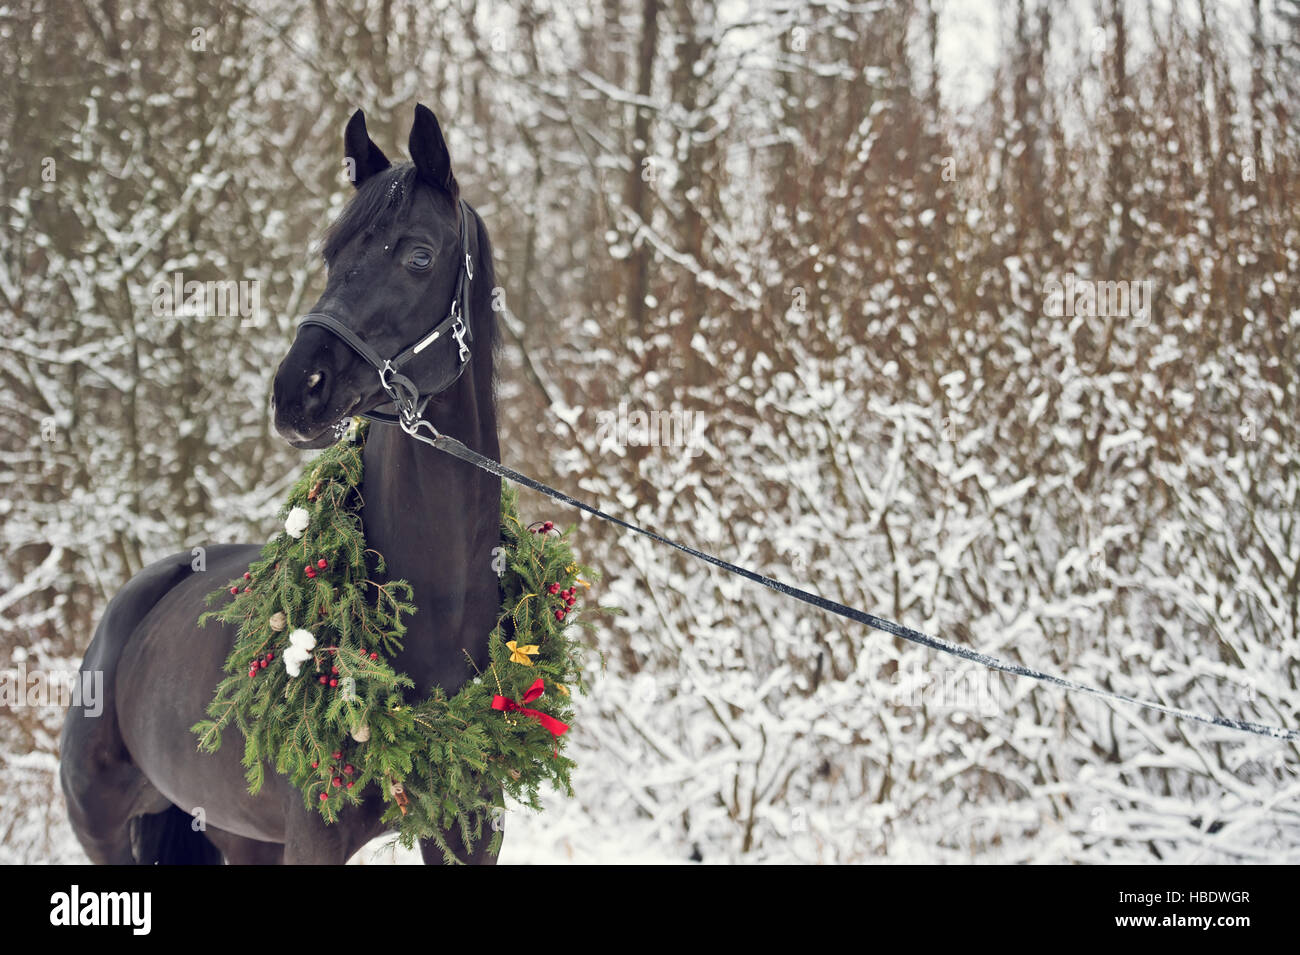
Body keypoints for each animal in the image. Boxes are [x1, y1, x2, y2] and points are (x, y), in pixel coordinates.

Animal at [59, 104, 504, 864]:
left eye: (419, 255)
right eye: (330, 253)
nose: (299, 389)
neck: (439, 607)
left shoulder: (471, 829)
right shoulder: (315, 839)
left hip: (238, 834)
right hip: (105, 831)